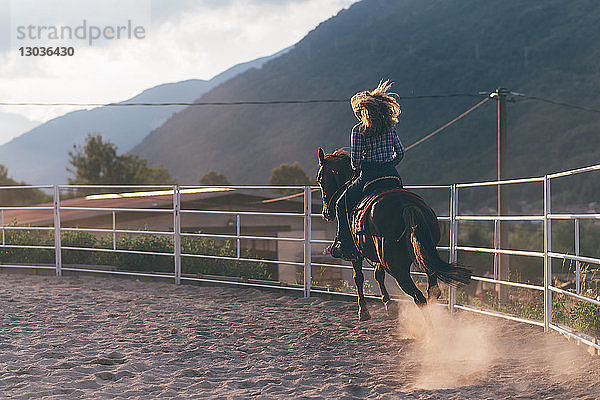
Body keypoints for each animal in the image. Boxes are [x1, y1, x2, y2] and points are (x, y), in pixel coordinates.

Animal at [316, 148, 472, 320]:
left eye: (320, 179)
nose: (326, 213)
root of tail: (407, 205)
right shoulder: (377, 255)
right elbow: (378, 274)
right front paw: (389, 305)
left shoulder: (355, 253)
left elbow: (359, 278)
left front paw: (363, 311)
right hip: (423, 259)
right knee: (432, 291)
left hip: (396, 267)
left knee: (419, 297)